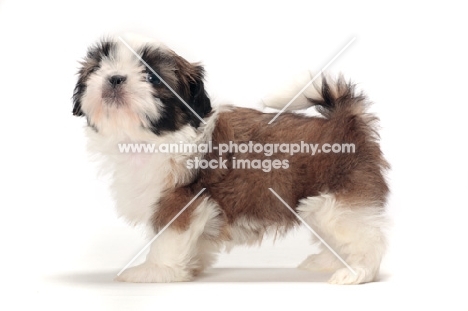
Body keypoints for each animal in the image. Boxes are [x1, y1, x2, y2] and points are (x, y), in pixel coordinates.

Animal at [72, 34, 388, 286]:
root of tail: (347, 121)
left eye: (152, 77)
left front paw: (155, 270)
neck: (150, 139)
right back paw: (330, 261)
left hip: (339, 202)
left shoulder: (179, 201)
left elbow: (167, 240)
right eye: (98, 67)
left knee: (367, 238)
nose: (114, 77)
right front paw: (191, 266)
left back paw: (356, 270)